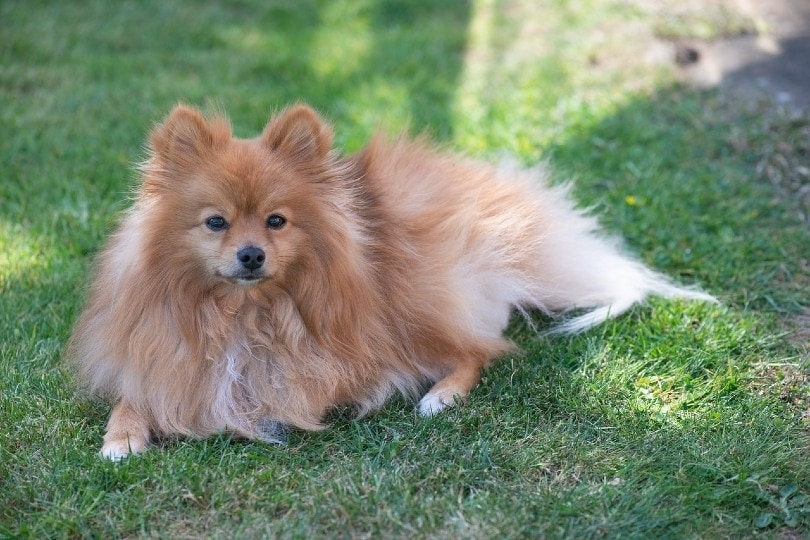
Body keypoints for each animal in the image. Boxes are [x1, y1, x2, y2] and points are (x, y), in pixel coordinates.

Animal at [71, 103, 712, 458]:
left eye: (277, 221)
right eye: (216, 222)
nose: (251, 255)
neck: (243, 309)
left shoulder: (322, 362)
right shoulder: (159, 352)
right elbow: (140, 391)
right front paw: (121, 436)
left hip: (414, 303)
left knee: (482, 351)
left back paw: (439, 396)